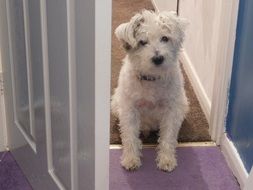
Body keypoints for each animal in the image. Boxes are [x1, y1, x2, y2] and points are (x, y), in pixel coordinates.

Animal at [111, 9, 189, 171]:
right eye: (142, 42)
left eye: (165, 38)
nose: (158, 58)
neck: (152, 78)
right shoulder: (129, 110)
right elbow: (129, 135)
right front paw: (131, 159)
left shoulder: (172, 110)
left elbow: (168, 136)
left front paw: (166, 159)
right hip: (115, 103)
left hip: (183, 105)